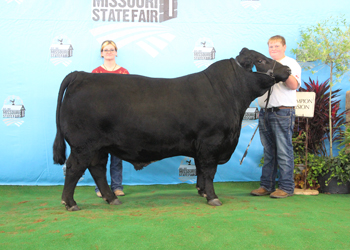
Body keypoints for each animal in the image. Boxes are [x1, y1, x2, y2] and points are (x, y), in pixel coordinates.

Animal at [53, 47, 292, 210]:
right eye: (260, 59)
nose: (288, 68)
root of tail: (81, 74)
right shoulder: (211, 142)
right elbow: (209, 171)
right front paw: (213, 197)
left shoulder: (200, 146)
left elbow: (200, 171)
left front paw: (202, 192)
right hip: (84, 145)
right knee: (74, 168)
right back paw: (70, 202)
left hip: (99, 147)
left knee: (97, 169)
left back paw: (112, 199)